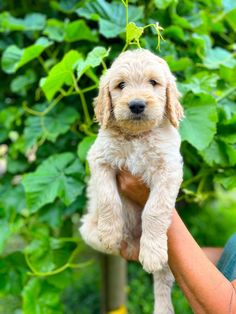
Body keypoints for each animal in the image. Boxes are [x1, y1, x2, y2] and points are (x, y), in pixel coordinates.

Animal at [80, 49, 183, 314]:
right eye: (121, 85)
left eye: (153, 82)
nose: (136, 105)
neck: (137, 137)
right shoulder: (100, 159)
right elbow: (108, 198)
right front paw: (109, 232)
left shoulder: (169, 169)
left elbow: (155, 210)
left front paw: (152, 249)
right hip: (87, 229)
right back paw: (118, 240)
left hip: (169, 257)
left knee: (162, 281)